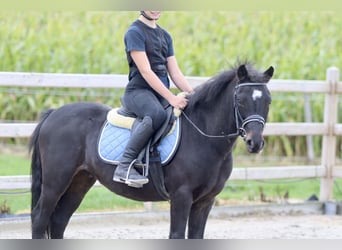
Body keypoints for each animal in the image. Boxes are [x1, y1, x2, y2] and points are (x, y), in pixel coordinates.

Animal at [30, 62, 274, 238]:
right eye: (240, 100)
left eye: (268, 101)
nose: (255, 143)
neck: (203, 136)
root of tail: (53, 113)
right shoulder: (181, 196)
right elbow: (176, 235)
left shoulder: (206, 201)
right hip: (55, 182)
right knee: (40, 219)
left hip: (79, 181)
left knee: (58, 221)